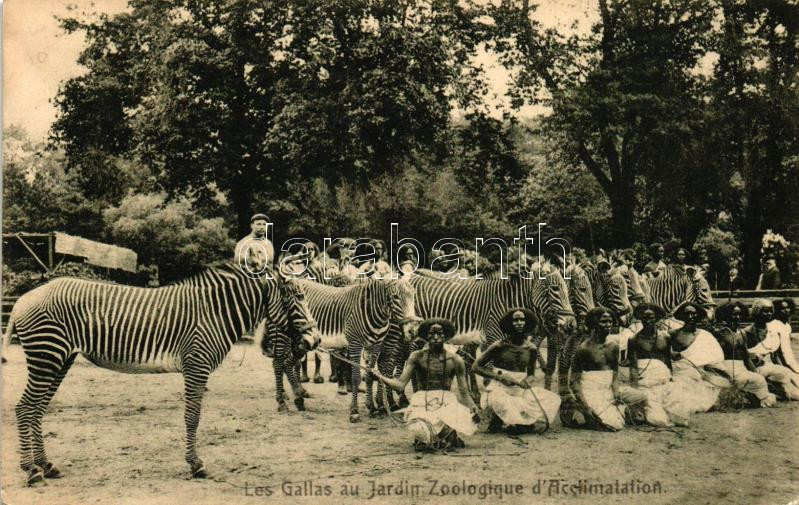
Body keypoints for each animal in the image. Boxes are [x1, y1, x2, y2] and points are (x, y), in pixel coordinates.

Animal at [3, 262, 322, 482]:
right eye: (297, 296)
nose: (315, 340)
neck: (214, 313)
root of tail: (21, 300)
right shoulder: (196, 366)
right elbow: (192, 417)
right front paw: (196, 465)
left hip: (59, 359)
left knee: (37, 409)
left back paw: (46, 465)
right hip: (47, 356)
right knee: (25, 408)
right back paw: (30, 470)